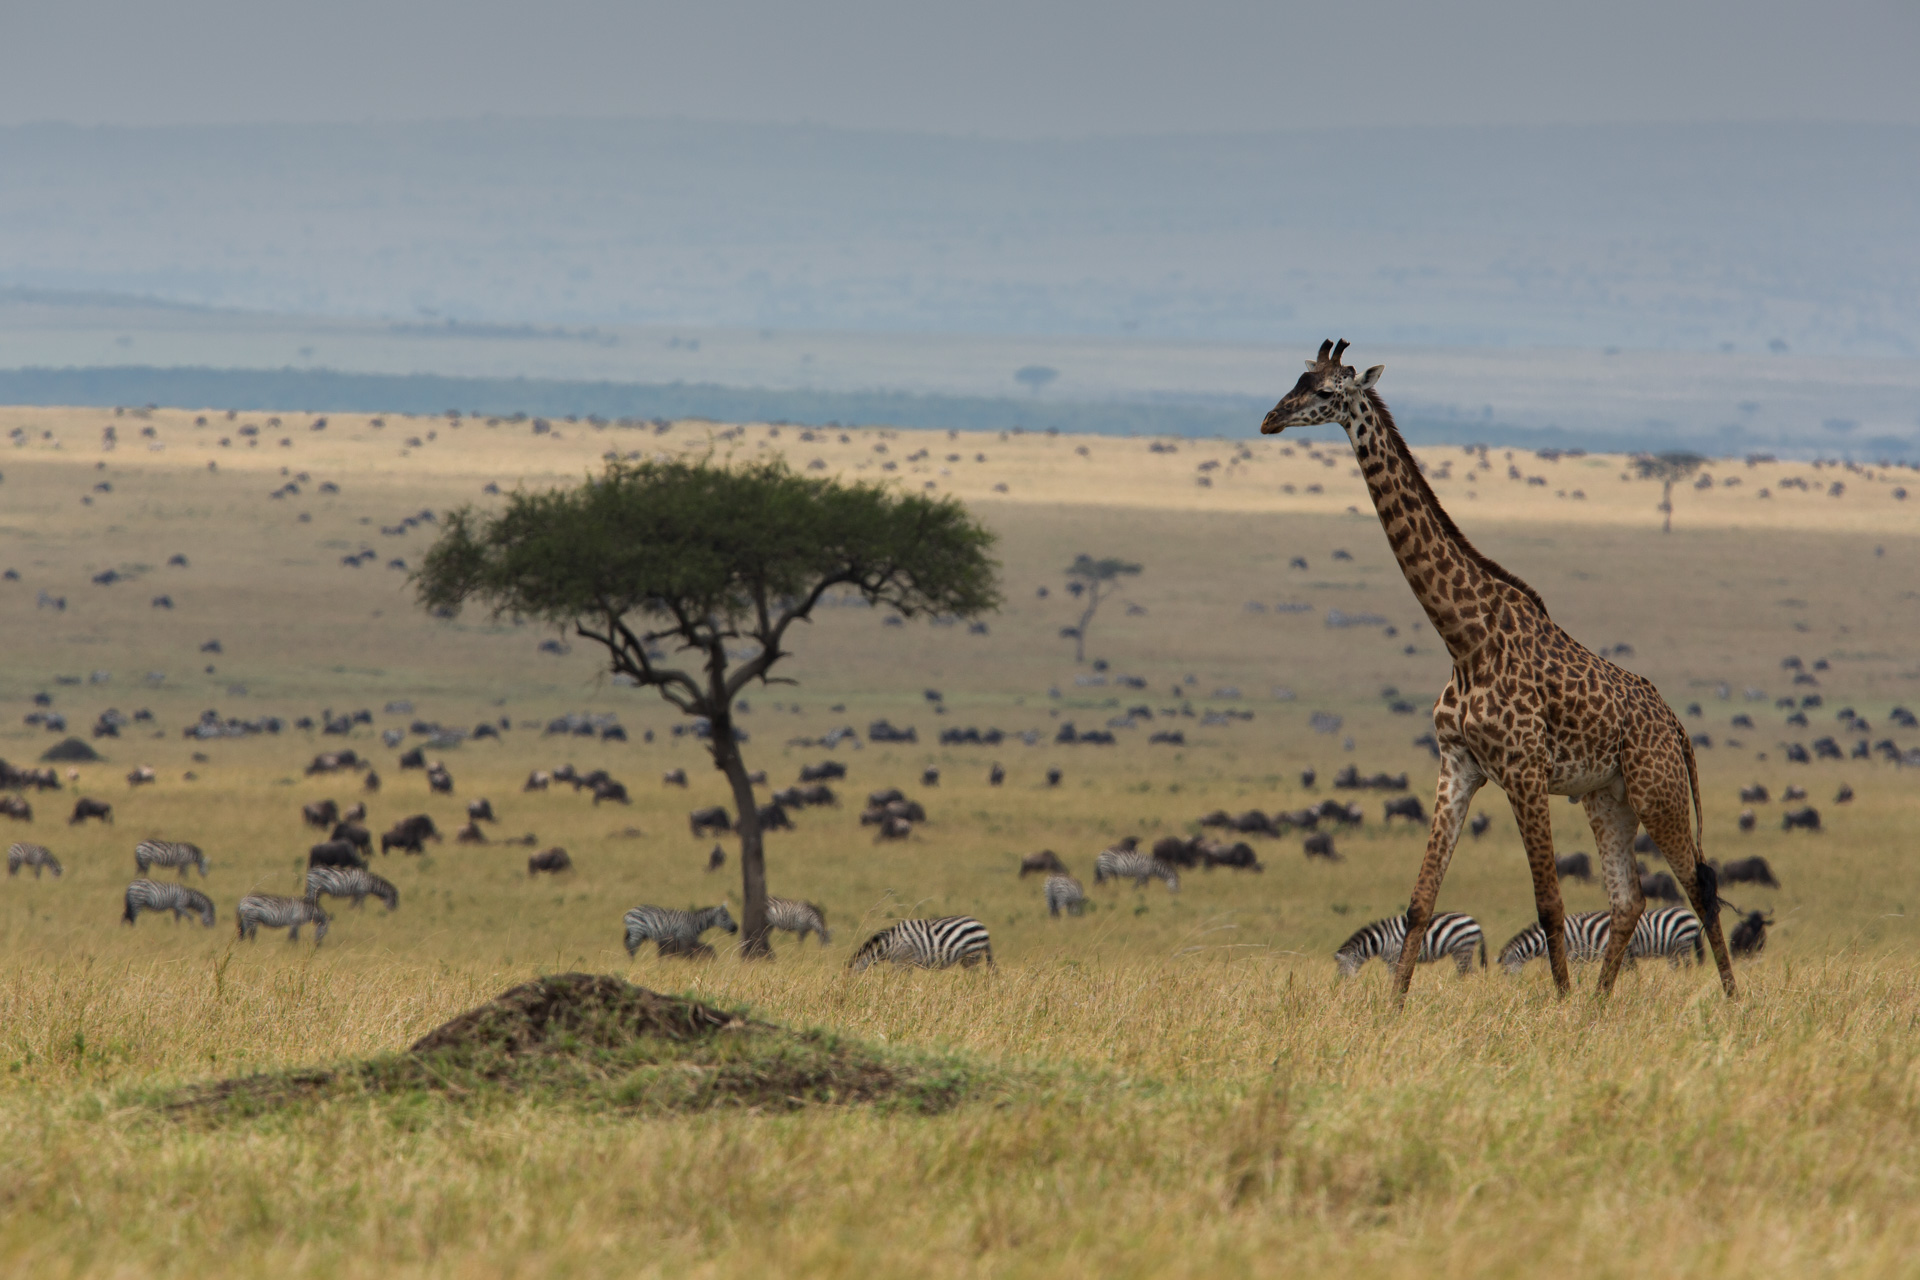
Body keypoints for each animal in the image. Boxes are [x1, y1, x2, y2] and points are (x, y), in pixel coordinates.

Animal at [844, 917, 990, 974]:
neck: (890, 944)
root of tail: (982, 927)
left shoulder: (902, 961)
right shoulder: (906, 963)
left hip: (972, 955)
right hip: (967, 958)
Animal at [1336, 909, 1482, 982]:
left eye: (1341, 968)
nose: (1342, 984)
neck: (1381, 940)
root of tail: (1474, 922)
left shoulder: (1395, 957)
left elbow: (1393, 977)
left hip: (1463, 948)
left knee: (1467, 972)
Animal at [1497, 905, 1712, 974]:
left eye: (1505, 970)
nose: (1510, 988)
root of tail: (1690, 914)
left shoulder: (1573, 952)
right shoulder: (1578, 956)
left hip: (1683, 944)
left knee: (1687, 965)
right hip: (1672, 950)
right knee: (1675, 966)